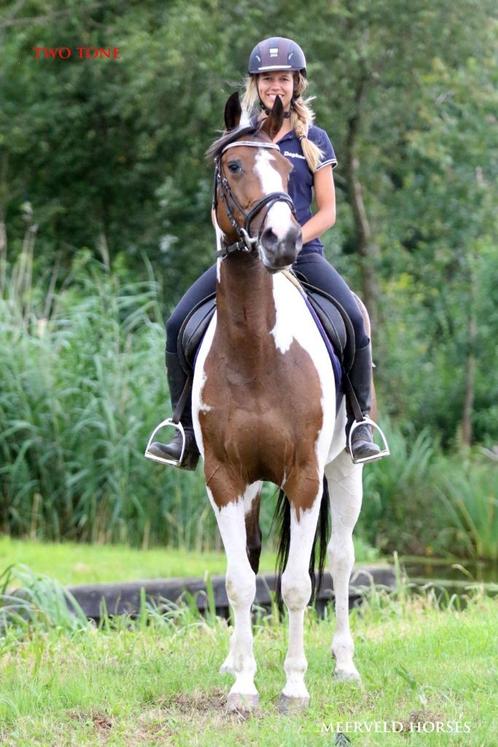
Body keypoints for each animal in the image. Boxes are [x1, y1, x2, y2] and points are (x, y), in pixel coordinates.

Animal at [191, 93, 362, 712]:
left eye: (290, 172)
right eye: (234, 165)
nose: (282, 242)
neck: (255, 350)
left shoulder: (306, 475)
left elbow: (295, 584)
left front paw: (293, 686)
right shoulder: (225, 477)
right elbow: (240, 578)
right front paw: (243, 686)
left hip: (346, 468)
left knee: (340, 559)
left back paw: (345, 666)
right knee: (250, 552)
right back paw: (233, 661)